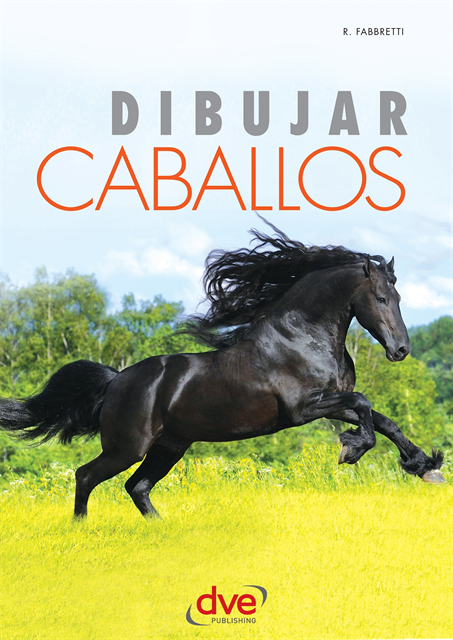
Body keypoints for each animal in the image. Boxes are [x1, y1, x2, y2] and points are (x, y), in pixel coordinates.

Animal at [0, 221, 445, 518]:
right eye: (382, 298)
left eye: (399, 297)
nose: (401, 350)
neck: (303, 338)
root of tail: (115, 381)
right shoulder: (304, 409)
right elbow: (366, 403)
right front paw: (351, 449)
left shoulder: (331, 402)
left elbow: (383, 419)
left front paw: (425, 467)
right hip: (127, 447)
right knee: (85, 476)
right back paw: (83, 528)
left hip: (169, 446)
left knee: (136, 486)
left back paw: (161, 530)